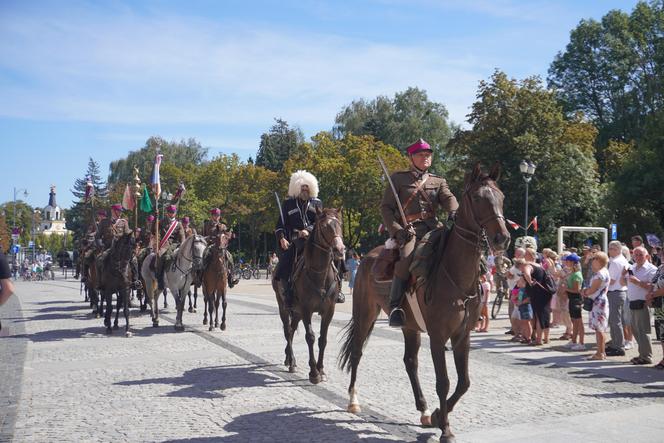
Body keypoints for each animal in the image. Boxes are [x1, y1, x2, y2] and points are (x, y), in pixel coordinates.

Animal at [272, 208, 348, 386]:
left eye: (340, 224)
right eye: (324, 226)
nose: (340, 249)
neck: (319, 274)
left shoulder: (329, 310)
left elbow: (323, 339)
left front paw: (321, 370)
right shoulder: (307, 310)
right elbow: (310, 337)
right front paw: (314, 373)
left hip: (297, 312)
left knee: (292, 329)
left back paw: (289, 359)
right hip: (283, 307)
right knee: (287, 330)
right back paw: (292, 362)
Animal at [340, 164, 510, 443]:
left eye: (501, 197)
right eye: (477, 198)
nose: (502, 239)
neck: (454, 273)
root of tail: (367, 257)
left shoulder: (463, 335)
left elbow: (464, 382)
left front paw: (439, 415)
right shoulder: (438, 336)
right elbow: (444, 381)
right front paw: (446, 429)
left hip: (409, 326)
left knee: (410, 361)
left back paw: (424, 409)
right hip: (365, 314)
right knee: (357, 351)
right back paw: (353, 400)